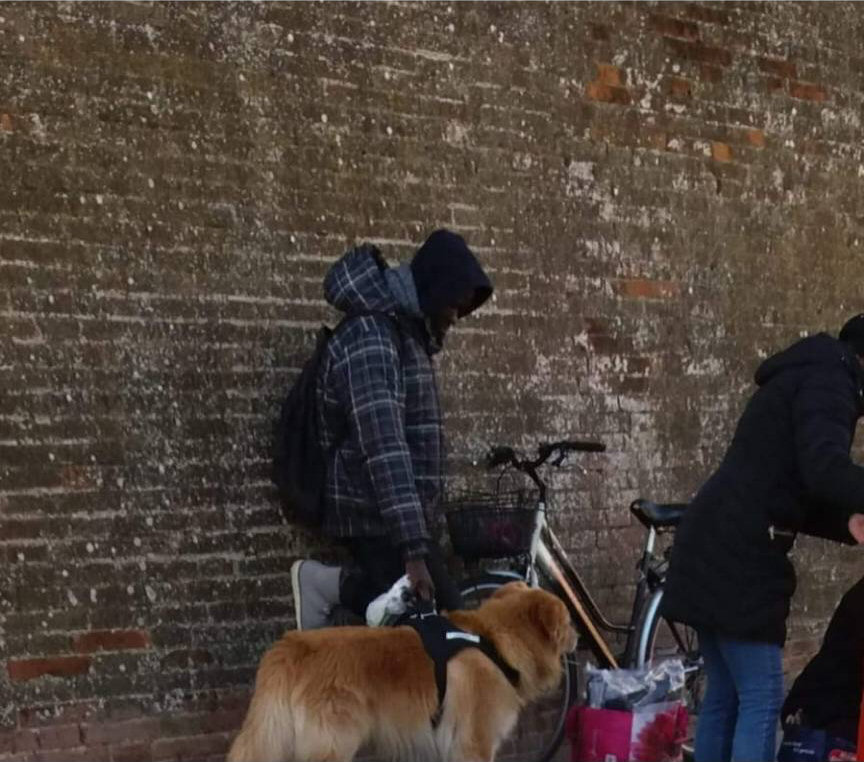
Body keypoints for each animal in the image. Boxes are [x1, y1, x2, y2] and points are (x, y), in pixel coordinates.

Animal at [226, 580, 576, 756]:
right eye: (569, 622)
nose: (579, 636)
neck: (494, 641)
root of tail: (292, 646)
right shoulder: (473, 743)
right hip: (333, 744)